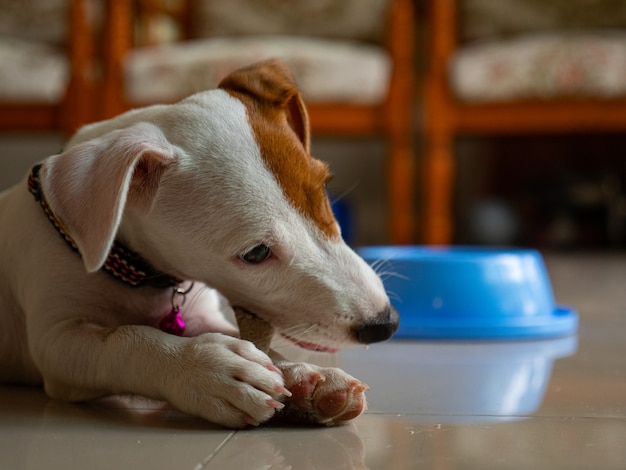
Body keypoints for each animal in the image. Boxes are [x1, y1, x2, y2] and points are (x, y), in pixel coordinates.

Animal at [0, 57, 398, 426]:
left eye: (323, 191)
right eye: (255, 253)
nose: (385, 323)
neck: (137, 273)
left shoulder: (203, 314)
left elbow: (254, 345)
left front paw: (306, 377)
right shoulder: (57, 342)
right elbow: (125, 340)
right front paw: (210, 370)